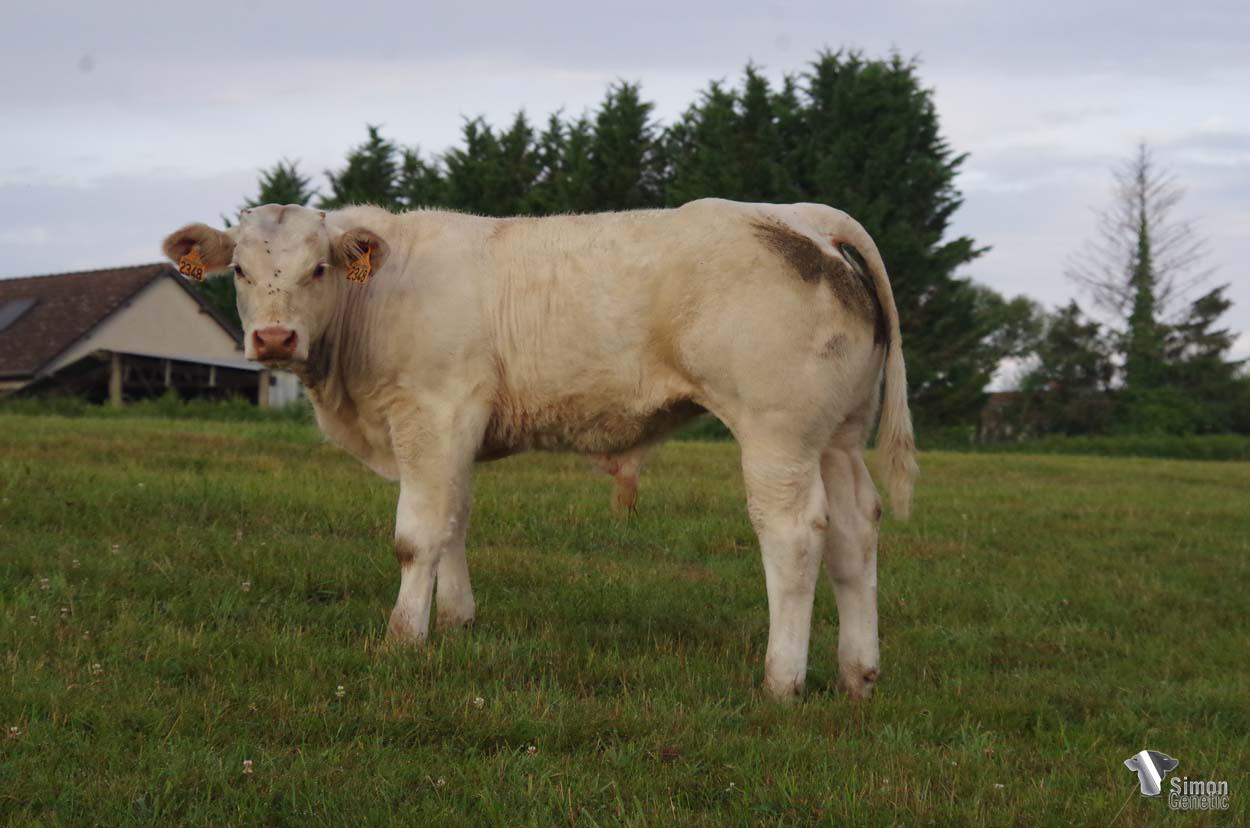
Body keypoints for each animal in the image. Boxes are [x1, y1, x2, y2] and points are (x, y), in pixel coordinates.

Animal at [161, 199, 917, 700]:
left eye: (319, 268)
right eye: (241, 273)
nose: (274, 339)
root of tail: (804, 216)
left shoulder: (432, 413)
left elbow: (416, 535)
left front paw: (404, 638)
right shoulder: (456, 430)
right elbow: (454, 522)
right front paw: (456, 621)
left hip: (776, 431)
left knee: (793, 535)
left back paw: (782, 679)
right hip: (836, 437)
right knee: (855, 533)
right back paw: (859, 675)